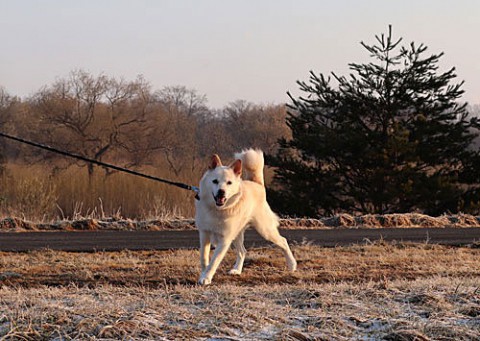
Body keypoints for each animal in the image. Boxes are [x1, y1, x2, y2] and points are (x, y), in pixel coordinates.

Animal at [195, 149, 296, 284]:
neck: (217, 210)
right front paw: (203, 275)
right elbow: (204, 258)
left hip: (265, 230)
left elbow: (214, 262)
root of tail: (258, 185)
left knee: (283, 241)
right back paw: (237, 270)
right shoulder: (204, 234)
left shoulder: (225, 240)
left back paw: (292, 265)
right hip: (237, 234)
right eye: (215, 181)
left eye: (229, 183)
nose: (221, 192)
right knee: (243, 251)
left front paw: (206, 277)